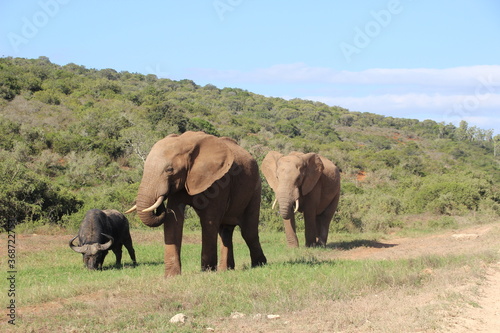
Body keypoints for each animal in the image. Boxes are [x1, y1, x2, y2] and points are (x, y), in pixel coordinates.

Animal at [126, 131, 266, 276]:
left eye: (169, 170)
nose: (160, 203)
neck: (185, 142)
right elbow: (174, 219)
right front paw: (171, 276)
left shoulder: (219, 180)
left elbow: (209, 220)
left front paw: (207, 272)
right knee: (225, 232)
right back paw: (225, 269)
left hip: (255, 187)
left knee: (248, 231)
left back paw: (259, 265)